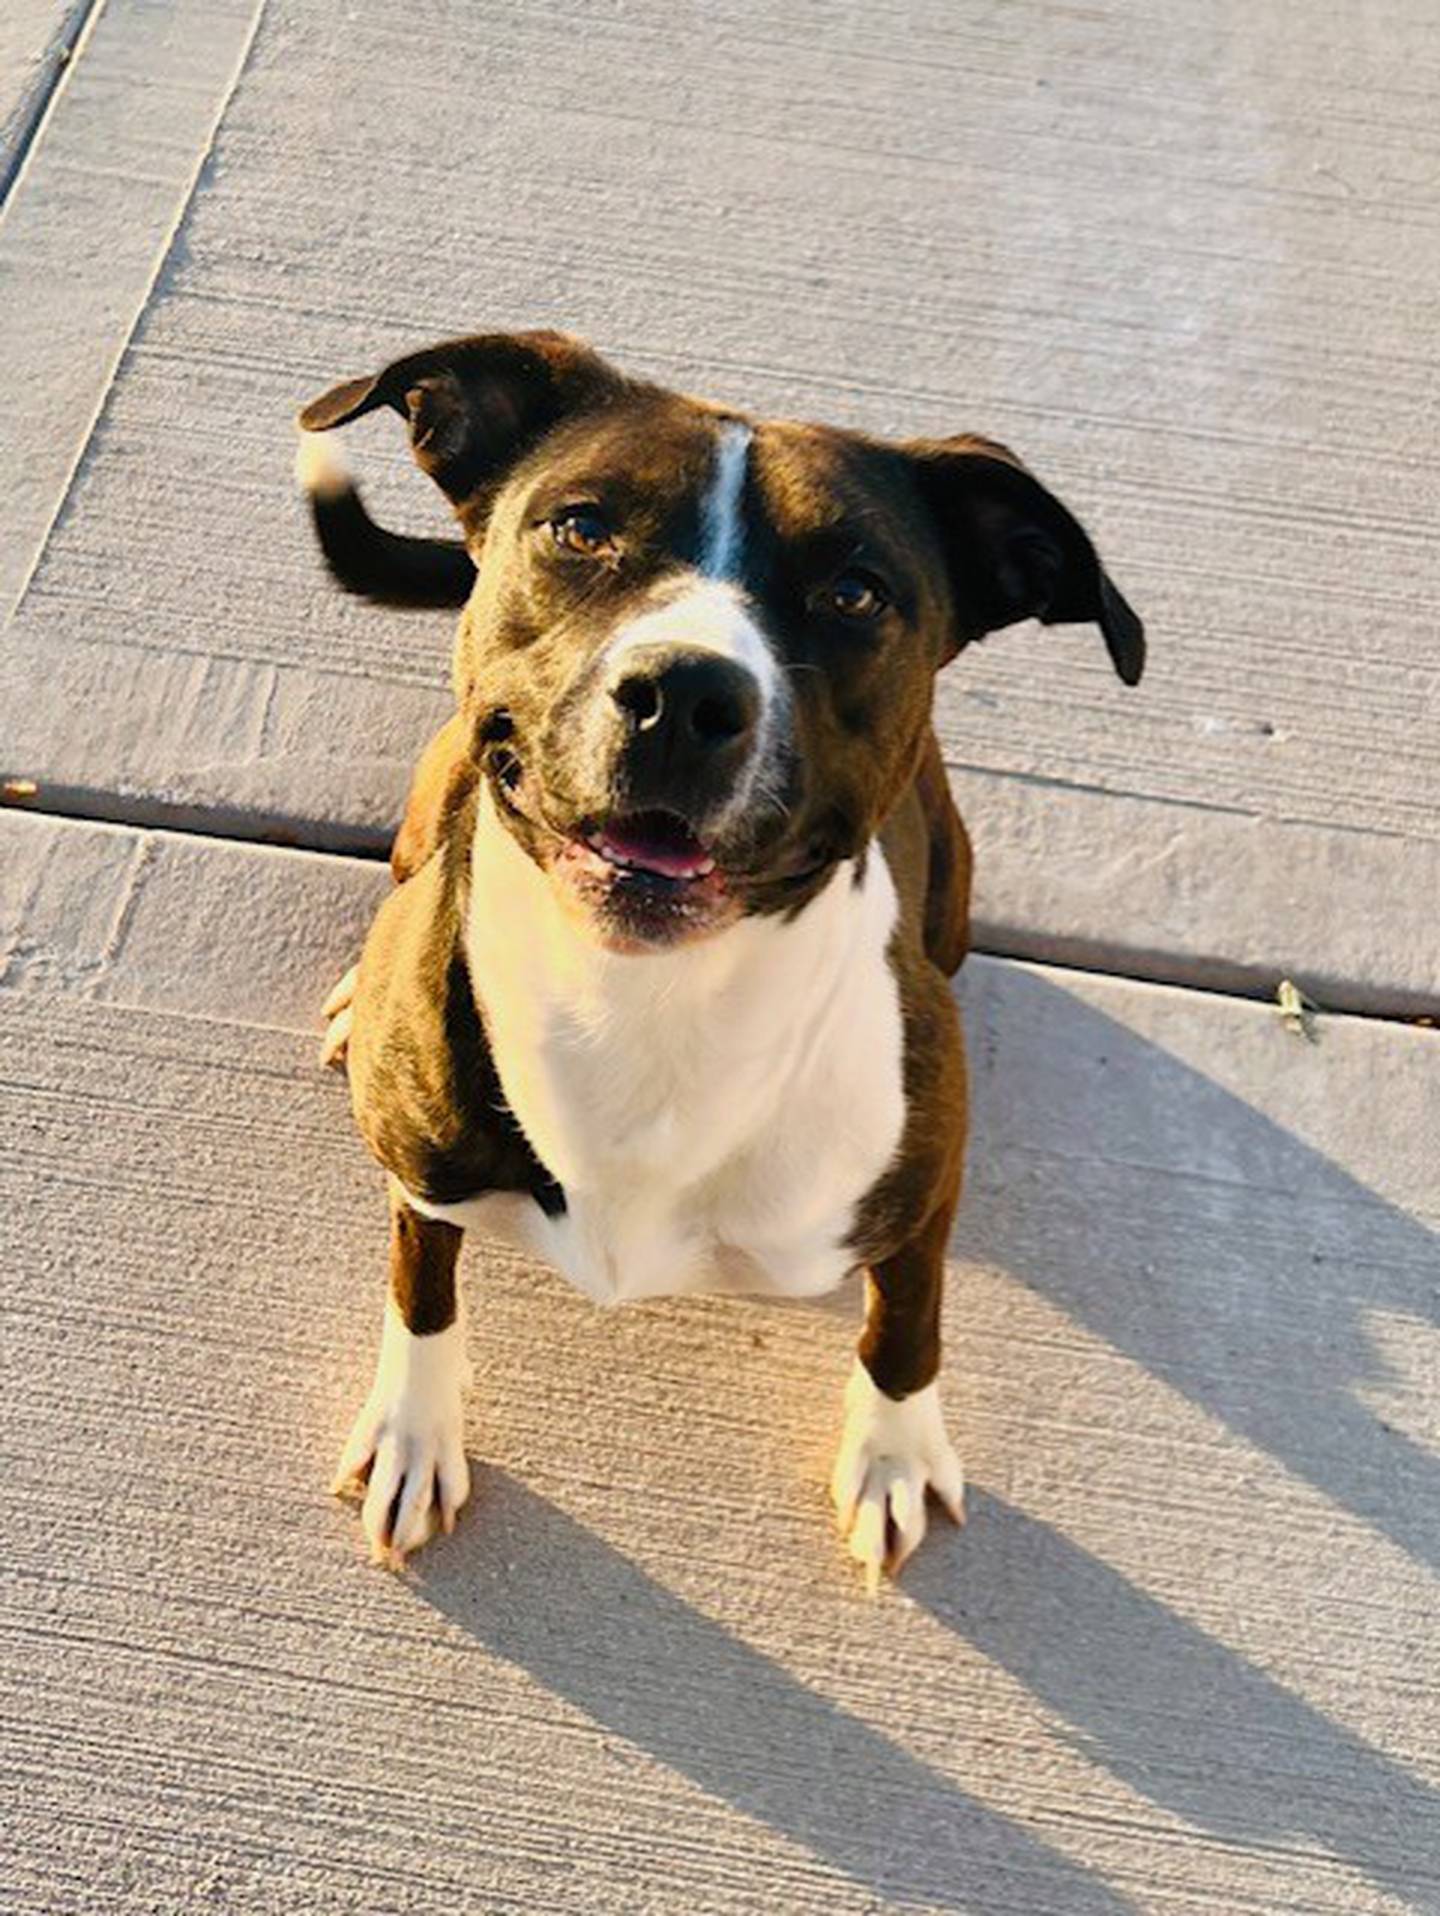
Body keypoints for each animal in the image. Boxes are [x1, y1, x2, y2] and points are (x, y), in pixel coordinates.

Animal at [294, 325, 1148, 1586]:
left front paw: (894, 1452)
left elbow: (909, 1324)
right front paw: (415, 1427)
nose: (683, 693)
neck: (643, 1007)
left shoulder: (924, 1182)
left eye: (855, 590)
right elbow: (422, 1286)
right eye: (581, 528)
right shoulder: (424, 1169)